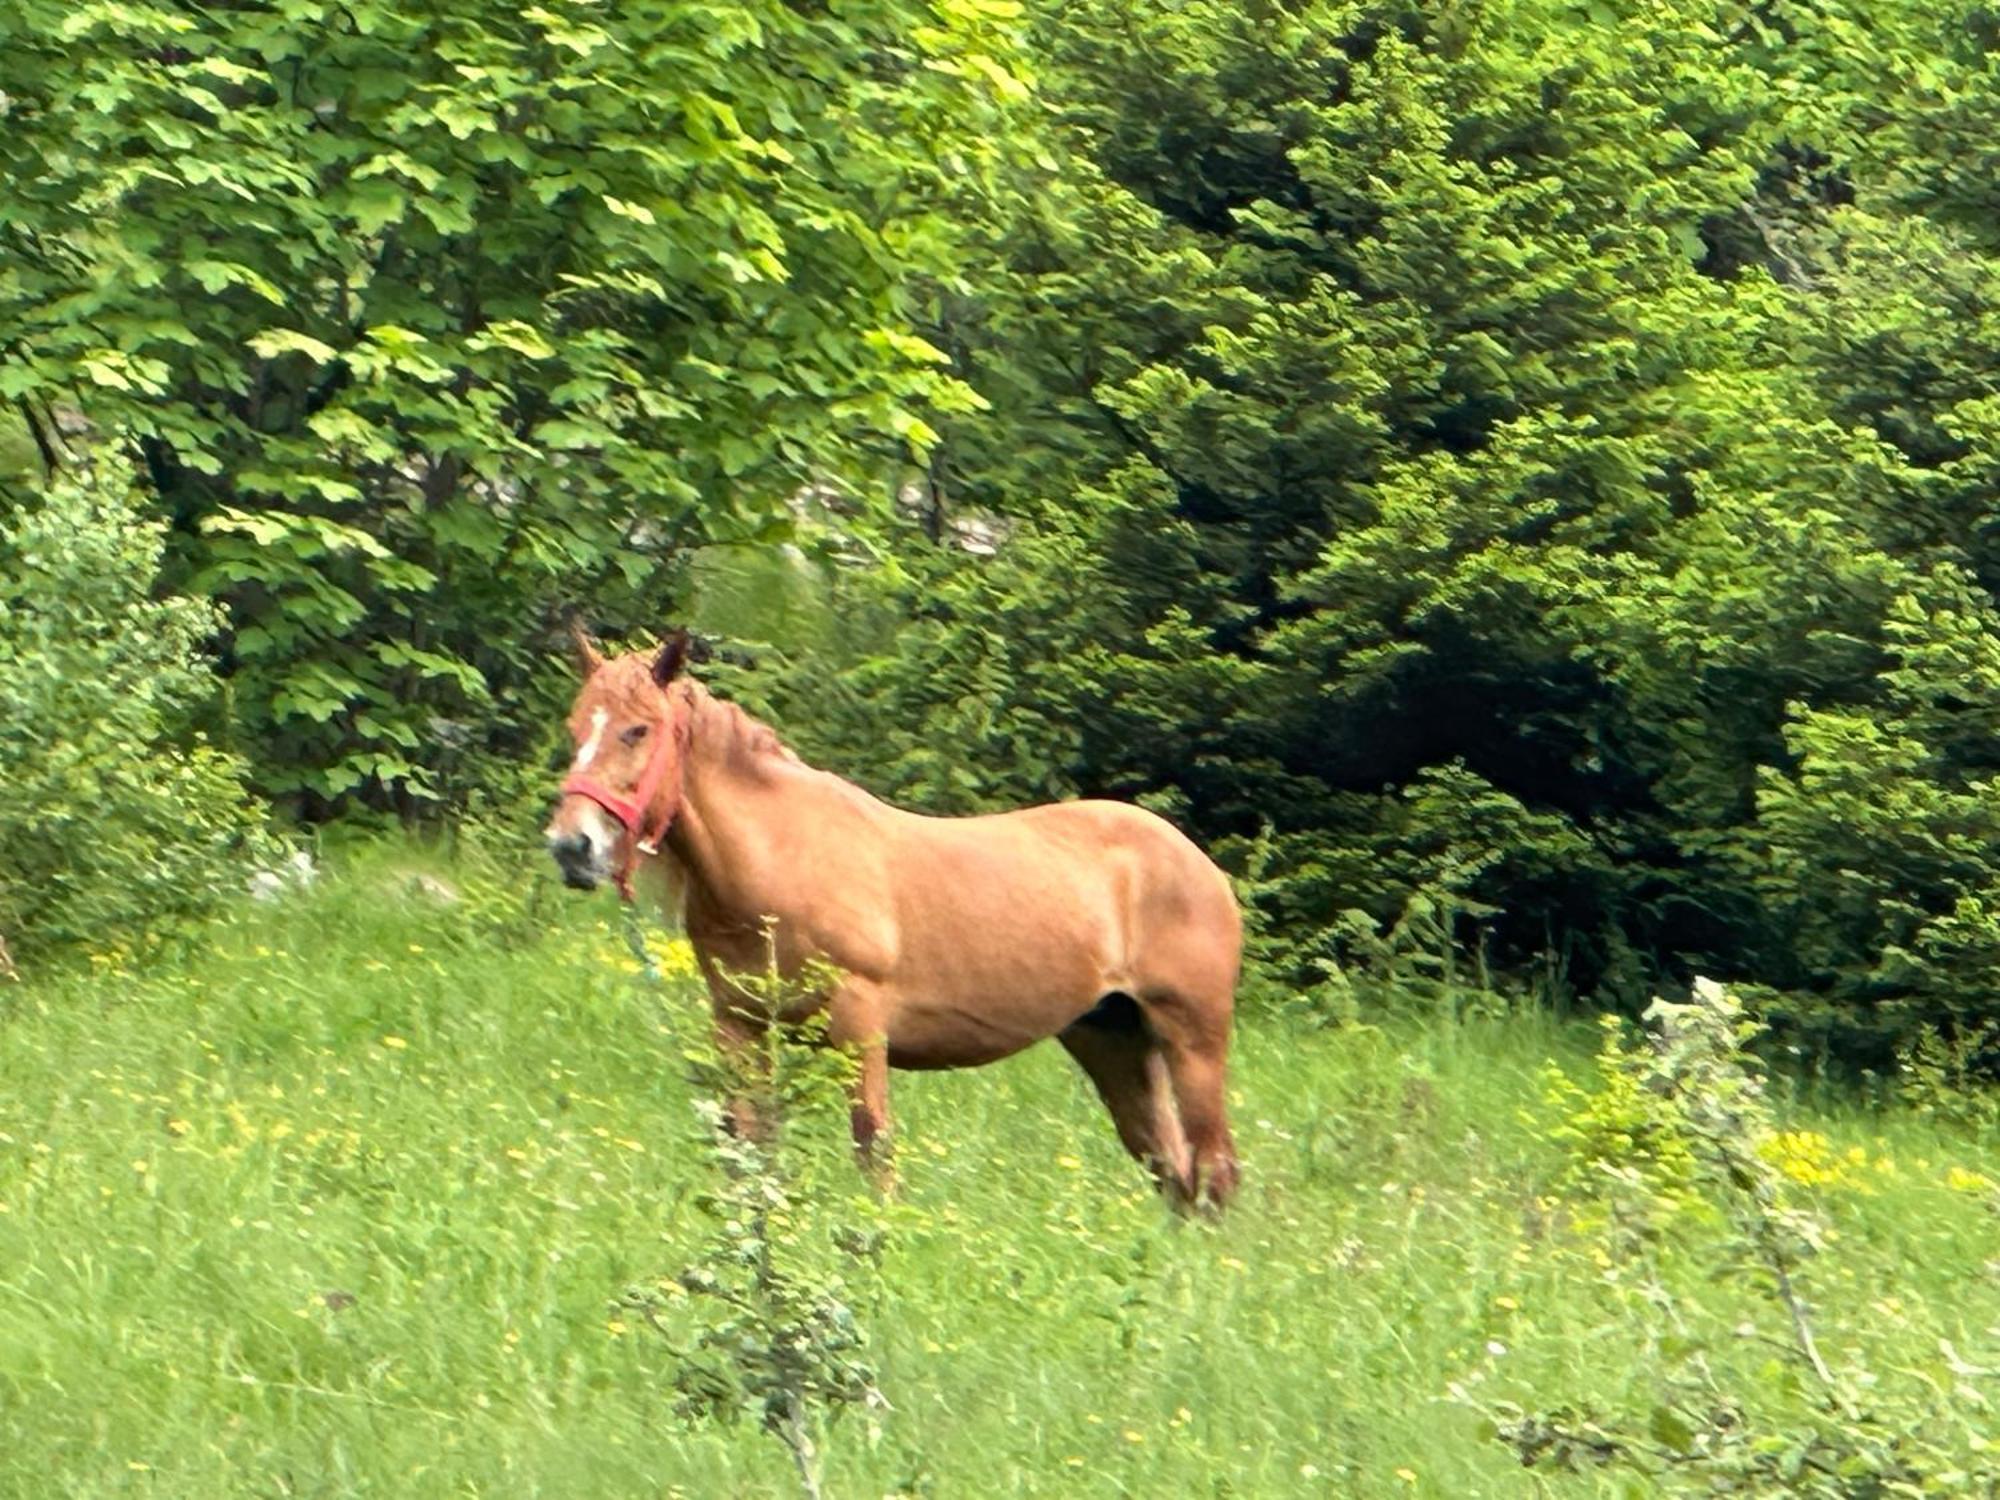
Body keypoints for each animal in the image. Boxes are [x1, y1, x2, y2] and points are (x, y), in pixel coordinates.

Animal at [540, 628, 1240, 1216]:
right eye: (576, 727)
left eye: (638, 730)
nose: (572, 846)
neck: (782, 860)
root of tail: (1201, 865)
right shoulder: (739, 1026)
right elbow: (750, 1148)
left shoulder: (860, 1025)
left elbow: (873, 1150)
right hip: (1110, 1039)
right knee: (1171, 1169)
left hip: (1192, 1039)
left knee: (1214, 1167)